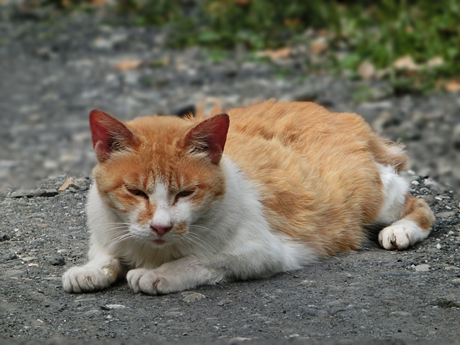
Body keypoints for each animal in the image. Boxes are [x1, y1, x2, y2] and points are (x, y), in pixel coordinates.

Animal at [61, 99, 434, 292]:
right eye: (136, 192)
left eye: (185, 193)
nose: (161, 227)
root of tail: (341, 115)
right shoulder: (107, 228)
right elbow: (105, 252)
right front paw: (90, 270)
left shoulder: (263, 251)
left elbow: (199, 261)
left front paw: (159, 275)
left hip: (373, 198)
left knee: (420, 205)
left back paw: (401, 231)